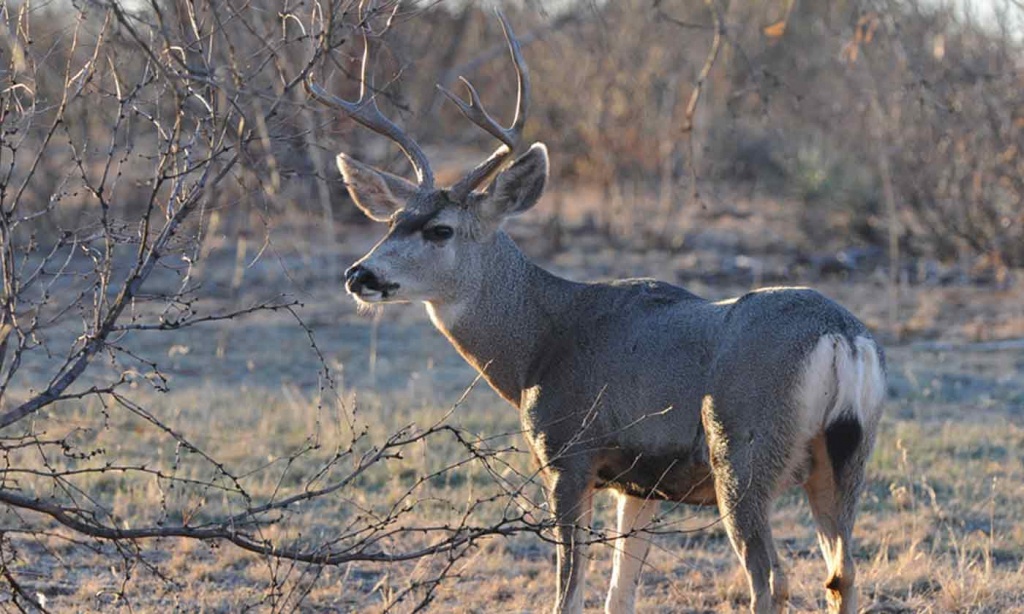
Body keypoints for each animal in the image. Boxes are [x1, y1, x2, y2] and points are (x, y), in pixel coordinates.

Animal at [305, 14, 888, 614]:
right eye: (391, 222)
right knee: (843, 573)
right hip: (847, 457)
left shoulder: (570, 454)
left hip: (743, 451)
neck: (536, 348)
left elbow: (569, 592)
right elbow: (617, 594)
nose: (360, 274)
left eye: (440, 230)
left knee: (772, 576)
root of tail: (841, 337)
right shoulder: (641, 482)